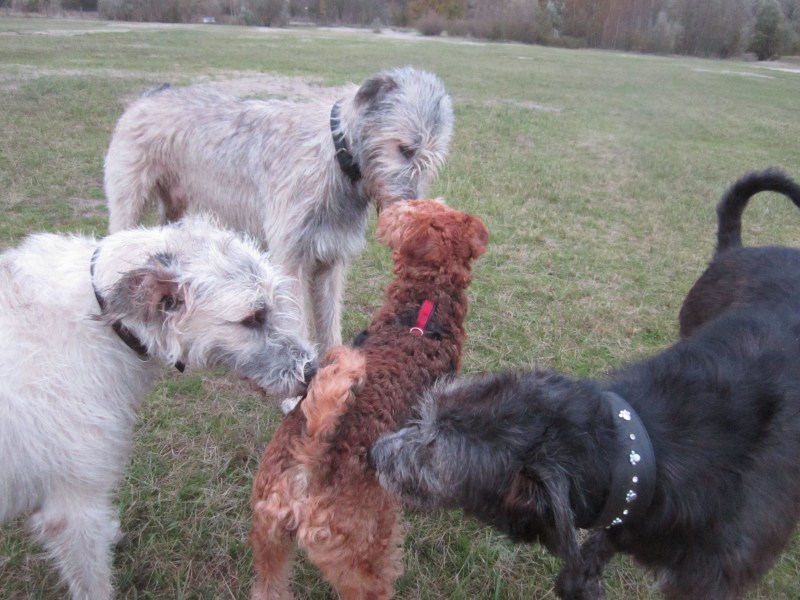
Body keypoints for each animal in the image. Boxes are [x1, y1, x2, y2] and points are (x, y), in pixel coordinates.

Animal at [104, 67, 454, 354]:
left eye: (432, 161)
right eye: (405, 149)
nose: (412, 214)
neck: (336, 154)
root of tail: (150, 96)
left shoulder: (331, 259)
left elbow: (330, 324)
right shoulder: (290, 259)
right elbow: (296, 323)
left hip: (176, 204)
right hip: (128, 201)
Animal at [248, 199, 488, 599]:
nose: (390, 207)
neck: (421, 307)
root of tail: (309, 462)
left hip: (269, 536)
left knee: (269, 587)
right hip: (364, 556)